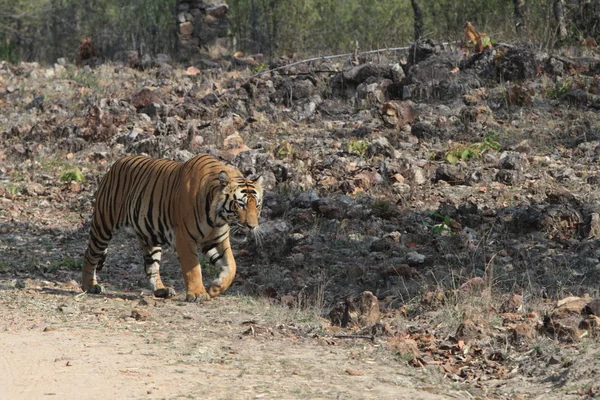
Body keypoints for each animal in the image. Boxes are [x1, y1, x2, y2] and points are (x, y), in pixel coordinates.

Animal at [81, 153, 264, 300]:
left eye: (257, 205)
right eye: (240, 204)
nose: (252, 226)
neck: (217, 218)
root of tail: (116, 163)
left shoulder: (216, 240)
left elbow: (231, 266)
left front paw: (215, 288)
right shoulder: (184, 238)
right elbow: (193, 268)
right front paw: (198, 294)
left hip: (150, 236)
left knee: (151, 265)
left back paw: (161, 290)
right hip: (103, 224)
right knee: (90, 254)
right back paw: (89, 285)